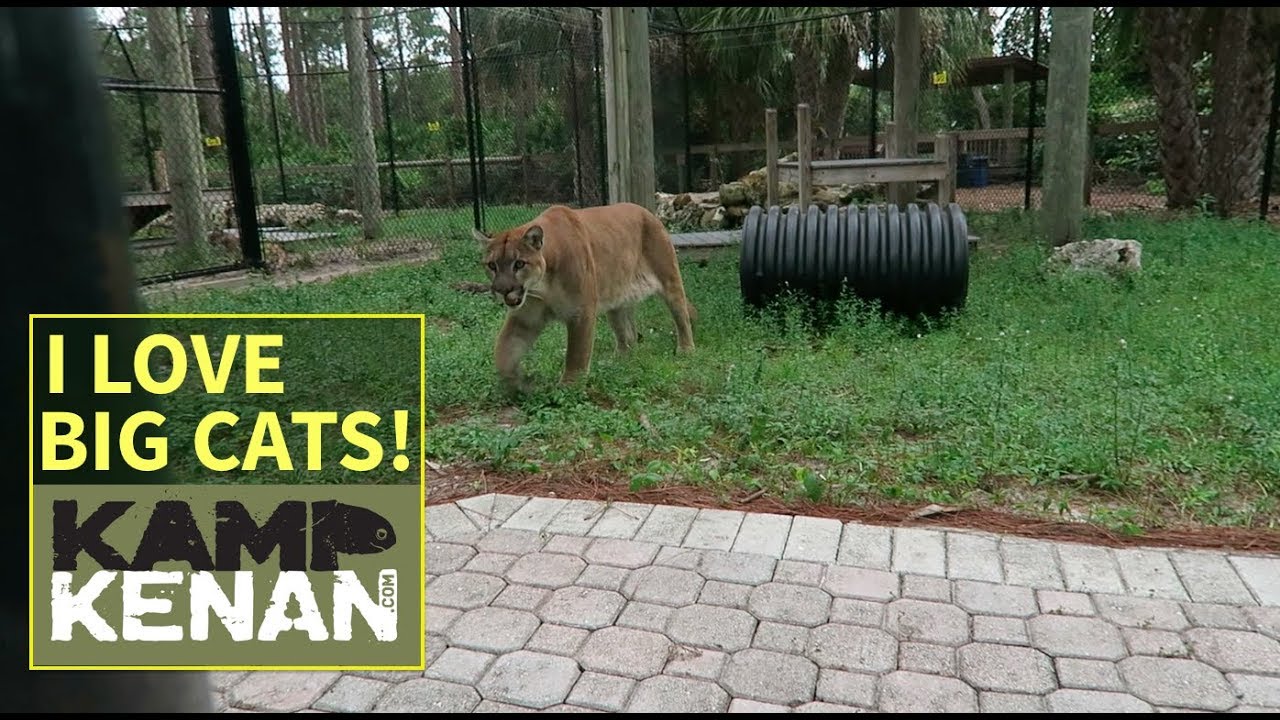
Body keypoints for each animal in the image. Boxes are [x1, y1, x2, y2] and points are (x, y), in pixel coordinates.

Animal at [474, 202, 697, 391]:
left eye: (519, 264)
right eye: (492, 265)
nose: (501, 290)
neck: (542, 285)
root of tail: (647, 212)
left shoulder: (581, 311)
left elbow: (576, 352)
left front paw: (569, 386)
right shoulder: (526, 317)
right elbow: (504, 348)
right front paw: (513, 381)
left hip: (669, 279)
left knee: (681, 315)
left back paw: (685, 350)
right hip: (616, 301)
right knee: (628, 334)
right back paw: (619, 361)